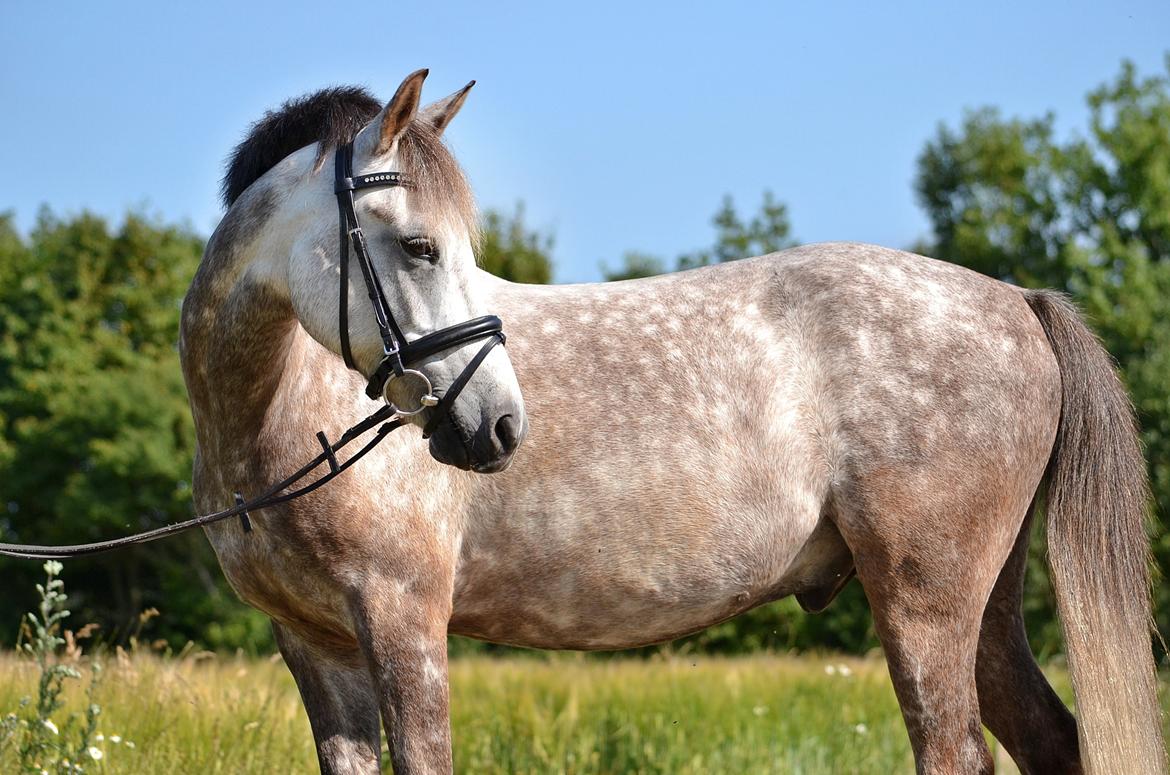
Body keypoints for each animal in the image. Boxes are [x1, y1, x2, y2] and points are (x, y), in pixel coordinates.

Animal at [179, 69, 1167, 775]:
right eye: (420, 246)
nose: (500, 425)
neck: (280, 414)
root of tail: (1016, 302)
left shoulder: (404, 618)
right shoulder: (317, 644)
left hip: (928, 601)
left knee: (956, 752)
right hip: (985, 604)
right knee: (1049, 741)